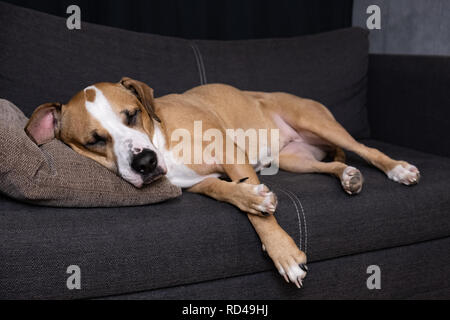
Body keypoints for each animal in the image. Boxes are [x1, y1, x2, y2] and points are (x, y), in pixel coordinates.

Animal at [23, 77, 418, 288]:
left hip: (318, 123)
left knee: (366, 150)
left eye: (132, 115)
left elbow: (260, 213)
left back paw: (398, 169)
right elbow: (228, 192)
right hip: (295, 159)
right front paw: (251, 197)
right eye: (94, 140)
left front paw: (283, 253)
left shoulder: (230, 153)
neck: (163, 138)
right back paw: (347, 176)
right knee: (330, 165)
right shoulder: (199, 182)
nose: (145, 163)